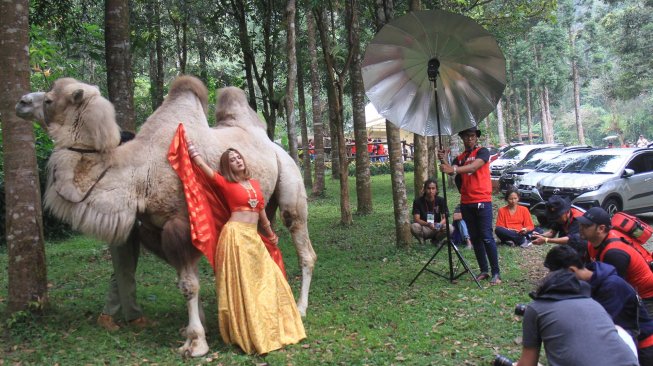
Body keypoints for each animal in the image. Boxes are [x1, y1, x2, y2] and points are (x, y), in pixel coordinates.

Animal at [16, 76, 318, 356]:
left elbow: (189, 284)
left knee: (303, 244)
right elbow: (184, 280)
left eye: (49, 100)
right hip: (264, 205)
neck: (139, 173)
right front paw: (197, 327)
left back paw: (300, 307)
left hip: (290, 178)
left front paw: (195, 343)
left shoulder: (181, 222)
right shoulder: (154, 229)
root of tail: (273, 143)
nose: (21, 102)